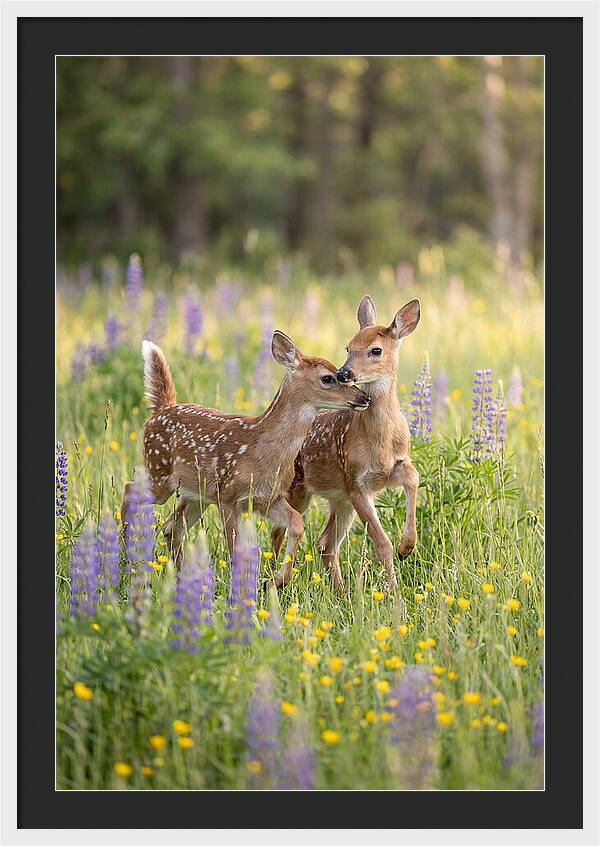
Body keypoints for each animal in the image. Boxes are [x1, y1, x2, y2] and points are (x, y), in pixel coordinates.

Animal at [121, 333, 370, 582]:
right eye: (328, 378)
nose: (364, 397)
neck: (261, 452)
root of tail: (161, 409)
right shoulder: (228, 497)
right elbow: (235, 548)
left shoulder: (269, 498)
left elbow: (297, 524)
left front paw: (277, 581)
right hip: (160, 473)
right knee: (130, 489)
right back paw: (124, 555)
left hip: (197, 494)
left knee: (171, 527)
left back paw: (182, 575)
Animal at [272, 297, 421, 591]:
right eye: (348, 347)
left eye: (376, 350)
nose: (344, 373)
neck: (380, 443)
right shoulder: (355, 482)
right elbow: (381, 543)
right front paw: (394, 592)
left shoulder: (390, 468)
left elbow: (413, 477)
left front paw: (407, 547)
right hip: (298, 490)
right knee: (279, 532)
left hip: (339, 499)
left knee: (325, 543)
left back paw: (340, 591)